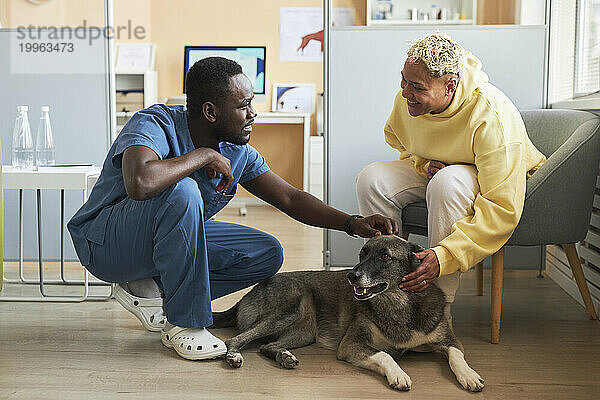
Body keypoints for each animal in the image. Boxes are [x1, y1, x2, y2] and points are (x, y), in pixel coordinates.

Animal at [210, 234, 482, 390]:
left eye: (385, 256)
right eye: (362, 253)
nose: (352, 276)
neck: (397, 302)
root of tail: (251, 291)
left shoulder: (449, 340)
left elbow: (457, 356)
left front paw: (469, 375)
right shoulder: (351, 344)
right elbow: (385, 354)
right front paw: (398, 374)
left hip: (304, 331)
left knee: (268, 346)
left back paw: (284, 356)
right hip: (291, 304)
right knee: (235, 339)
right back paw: (234, 355)